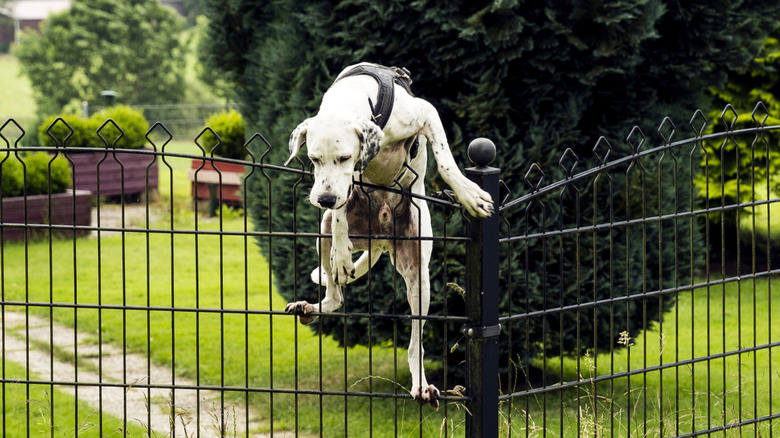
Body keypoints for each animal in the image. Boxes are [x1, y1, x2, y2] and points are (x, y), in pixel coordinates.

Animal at [284, 61, 494, 408]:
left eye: (343, 157)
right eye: (313, 159)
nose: (324, 198)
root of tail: (381, 239)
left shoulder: (426, 113)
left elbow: (446, 162)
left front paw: (469, 193)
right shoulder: (342, 193)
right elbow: (341, 212)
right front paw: (341, 254)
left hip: (419, 278)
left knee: (415, 344)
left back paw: (422, 385)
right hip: (322, 232)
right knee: (336, 295)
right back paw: (314, 304)